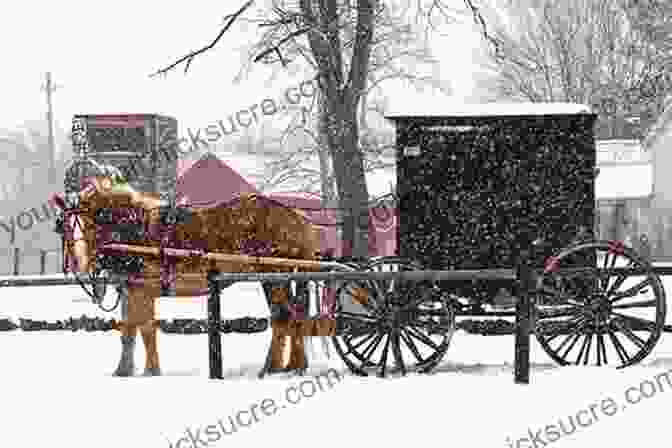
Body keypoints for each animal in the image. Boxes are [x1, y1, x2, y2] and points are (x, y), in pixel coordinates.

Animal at [54, 173, 322, 376]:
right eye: (64, 225)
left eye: (89, 220)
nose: (80, 263)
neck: (132, 230)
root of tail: (298, 219)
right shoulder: (130, 289)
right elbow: (129, 331)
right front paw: (124, 370)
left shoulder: (142, 289)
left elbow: (146, 330)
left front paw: (151, 371)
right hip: (277, 278)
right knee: (288, 315)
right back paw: (287, 366)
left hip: (273, 275)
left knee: (285, 315)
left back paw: (275, 368)